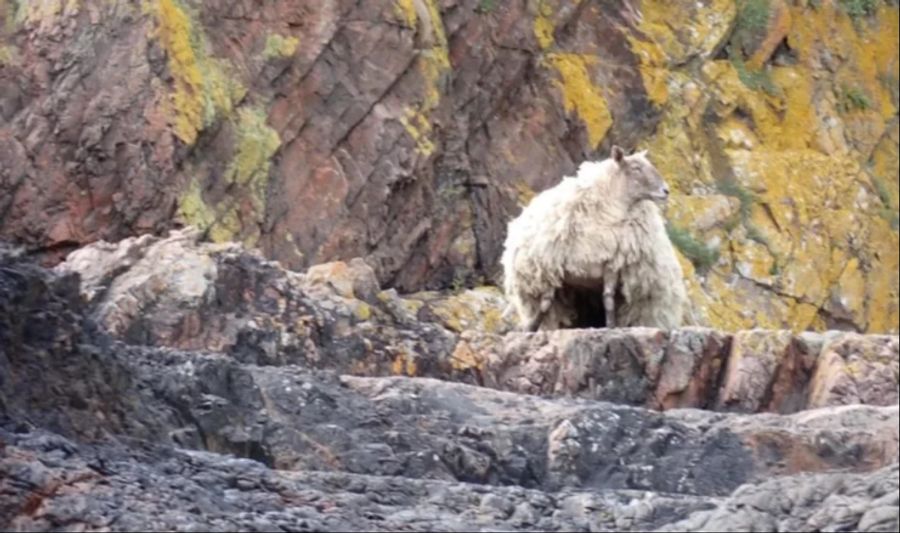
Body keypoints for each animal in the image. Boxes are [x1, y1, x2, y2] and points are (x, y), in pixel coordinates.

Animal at [502, 143, 684, 330]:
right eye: (636, 168)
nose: (666, 191)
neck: (609, 213)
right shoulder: (552, 266)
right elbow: (546, 303)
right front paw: (530, 328)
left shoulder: (612, 265)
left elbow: (608, 300)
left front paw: (611, 327)